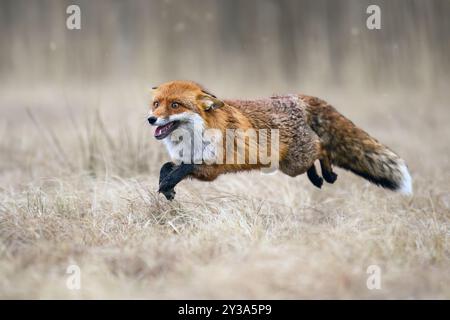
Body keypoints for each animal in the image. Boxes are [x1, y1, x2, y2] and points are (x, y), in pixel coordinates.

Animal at [148, 80, 412, 200]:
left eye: (175, 105)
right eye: (156, 104)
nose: (151, 119)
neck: (190, 139)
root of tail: (294, 96)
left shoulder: (212, 166)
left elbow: (184, 168)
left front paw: (167, 185)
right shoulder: (192, 164)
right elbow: (168, 166)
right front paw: (167, 187)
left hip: (295, 161)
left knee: (322, 148)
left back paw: (327, 174)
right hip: (291, 165)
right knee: (315, 156)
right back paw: (317, 177)